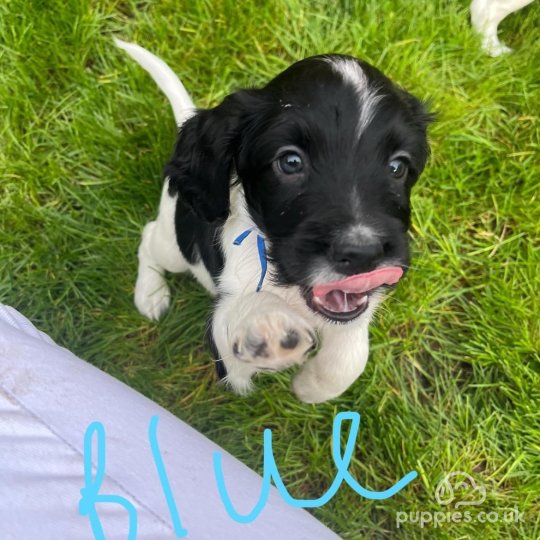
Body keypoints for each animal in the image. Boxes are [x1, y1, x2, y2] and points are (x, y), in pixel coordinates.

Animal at [116, 40, 432, 402]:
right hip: (176, 245)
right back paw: (150, 293)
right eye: (290, 161)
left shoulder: (357, 309)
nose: (362, 254)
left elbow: (349, 356)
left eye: (398, 166)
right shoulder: (226, 347)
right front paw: (268, 325)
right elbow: (244, 312)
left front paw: (311, 387)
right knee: (149, 238)